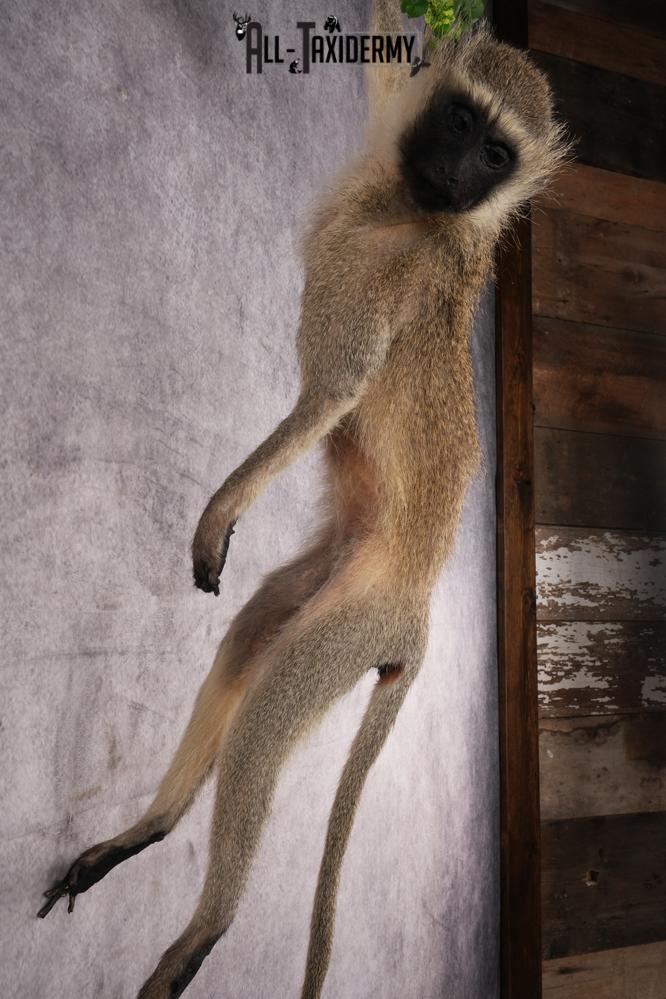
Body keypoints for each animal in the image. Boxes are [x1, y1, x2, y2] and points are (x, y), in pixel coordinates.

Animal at [37, 5, 569, 997]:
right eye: (462, 122)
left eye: (496, 155)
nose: (458, 170)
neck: (406, 204)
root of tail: (413, 614)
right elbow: (383, 56)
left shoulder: (384, 278)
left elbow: (333, 390)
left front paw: (223, 507)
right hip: (326, 582)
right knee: (252, 637)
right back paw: (149, 832)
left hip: (350, 628)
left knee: (260, 726)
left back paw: (202, 935)